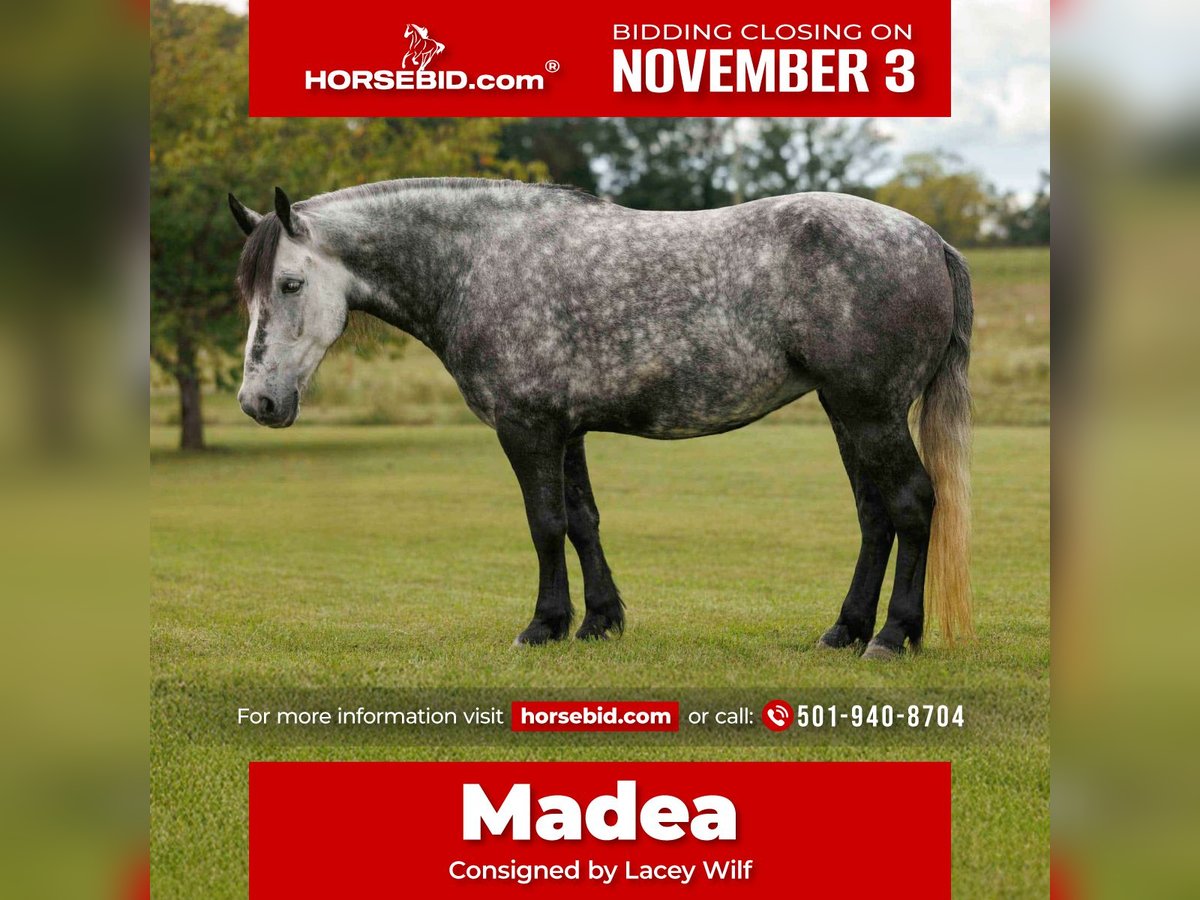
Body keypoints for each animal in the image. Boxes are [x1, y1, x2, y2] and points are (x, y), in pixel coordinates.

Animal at [227, 179, 974, 659]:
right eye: (247, 292)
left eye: (290, 284)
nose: (257, 403)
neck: (480, 260)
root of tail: (929, 240)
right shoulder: (568, 429)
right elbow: (583, 521)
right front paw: (600, 623)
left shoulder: (527, 428)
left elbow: (545, 524)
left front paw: (544, 626)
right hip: (847, 414)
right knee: (875, 516)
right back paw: (845, 631)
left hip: (871, 413)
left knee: (912, 504)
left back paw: (892, 636)